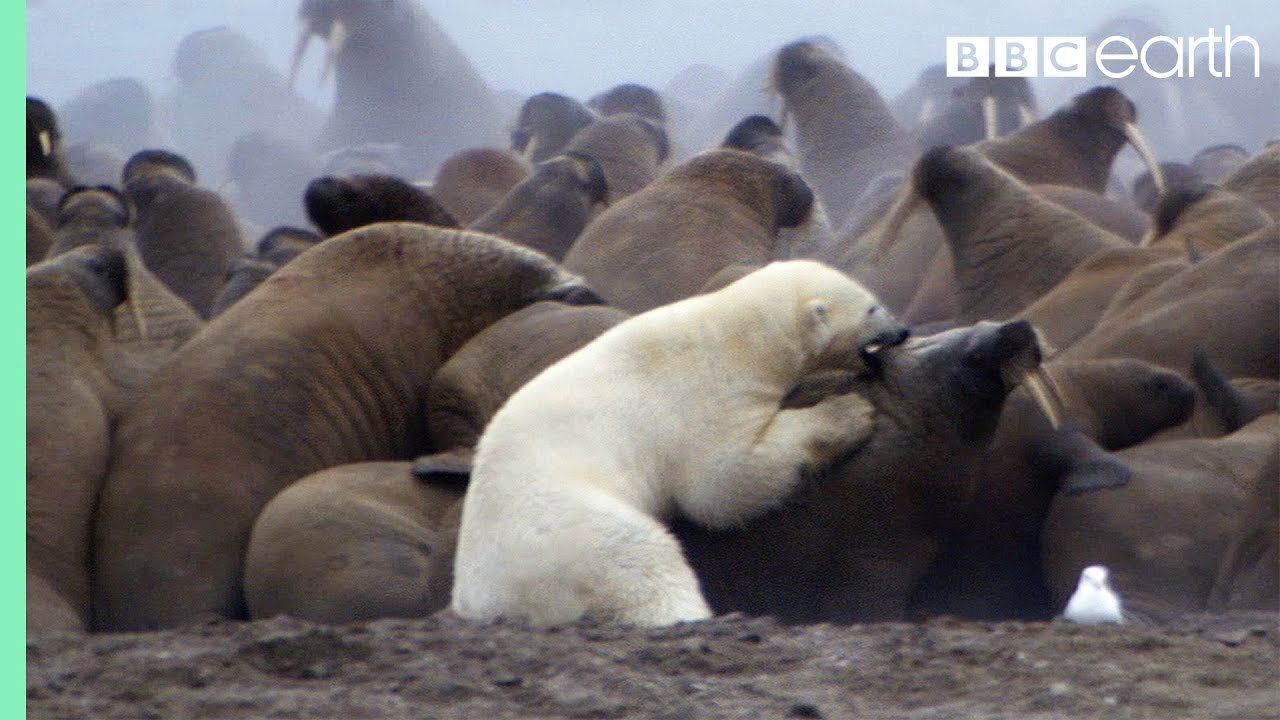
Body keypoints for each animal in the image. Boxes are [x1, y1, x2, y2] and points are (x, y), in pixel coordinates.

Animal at [453, 257, 911, 622]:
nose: (903, 330)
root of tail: (482, 599)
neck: (736, 337)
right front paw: (850, 412)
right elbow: (720, 485)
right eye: (872, 306)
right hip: (561, 531)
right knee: (638, 558)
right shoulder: (700, 396)